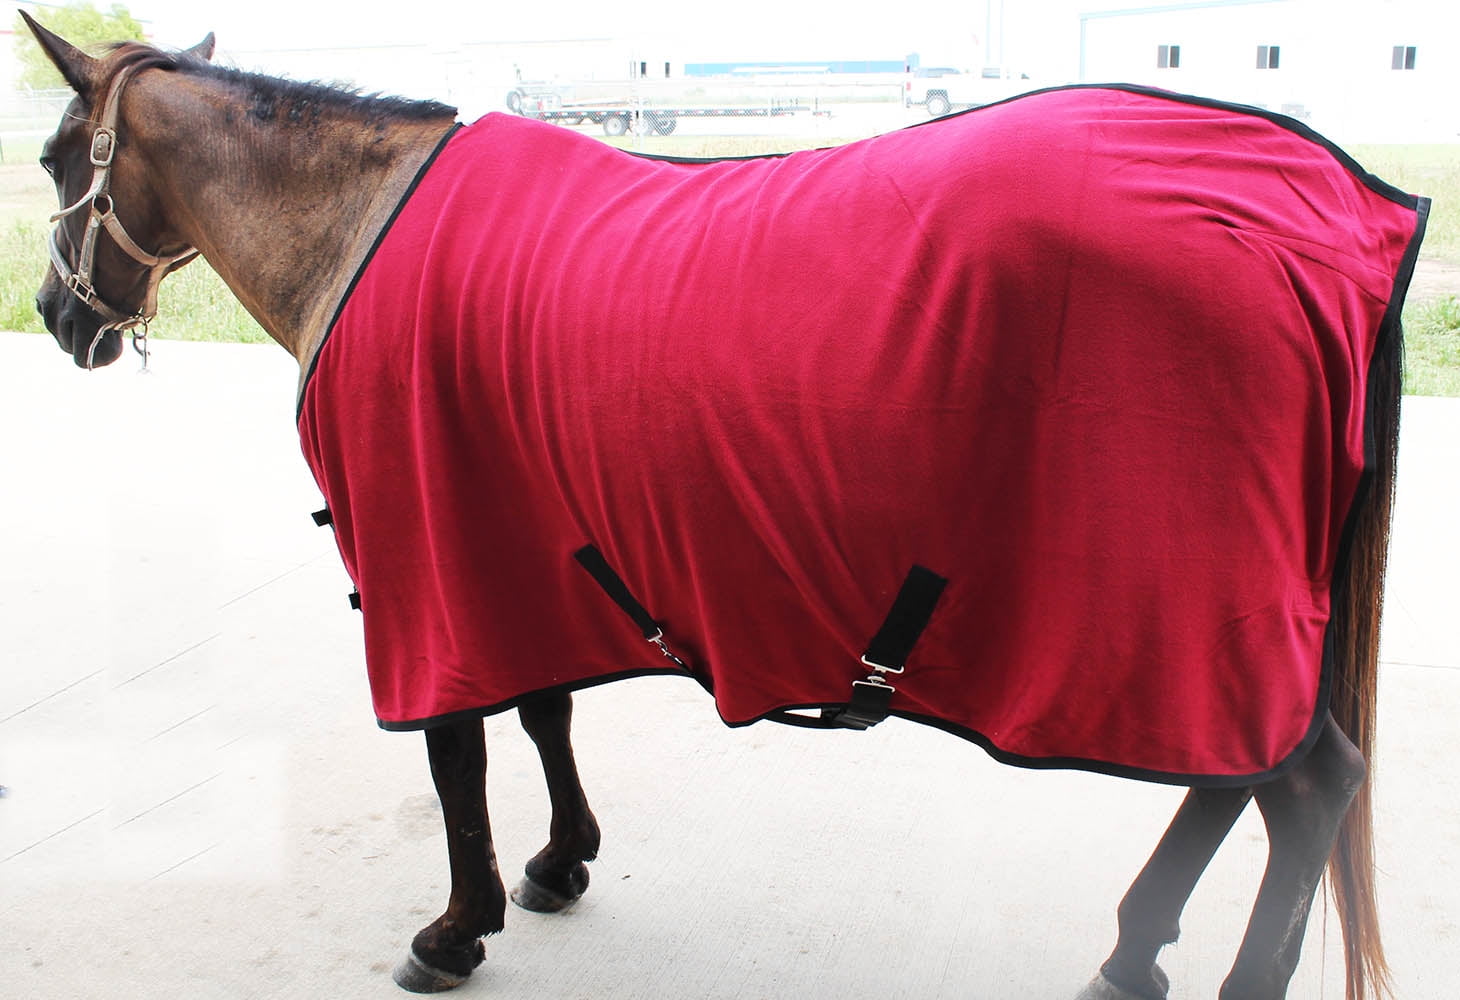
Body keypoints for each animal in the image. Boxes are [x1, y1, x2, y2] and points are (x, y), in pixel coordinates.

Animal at [22, 15, 1428, 1000]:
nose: (54, 317)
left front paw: (457, 926)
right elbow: (541, 707)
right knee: (1245, 780)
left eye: (49, 157)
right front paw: (558, 863)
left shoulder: (432, 552)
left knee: (1303, 783)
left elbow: (457, 748)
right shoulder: (517, 534)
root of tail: (1326, 212)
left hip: (1193, 603)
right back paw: (1133, 953)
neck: (361, 224)